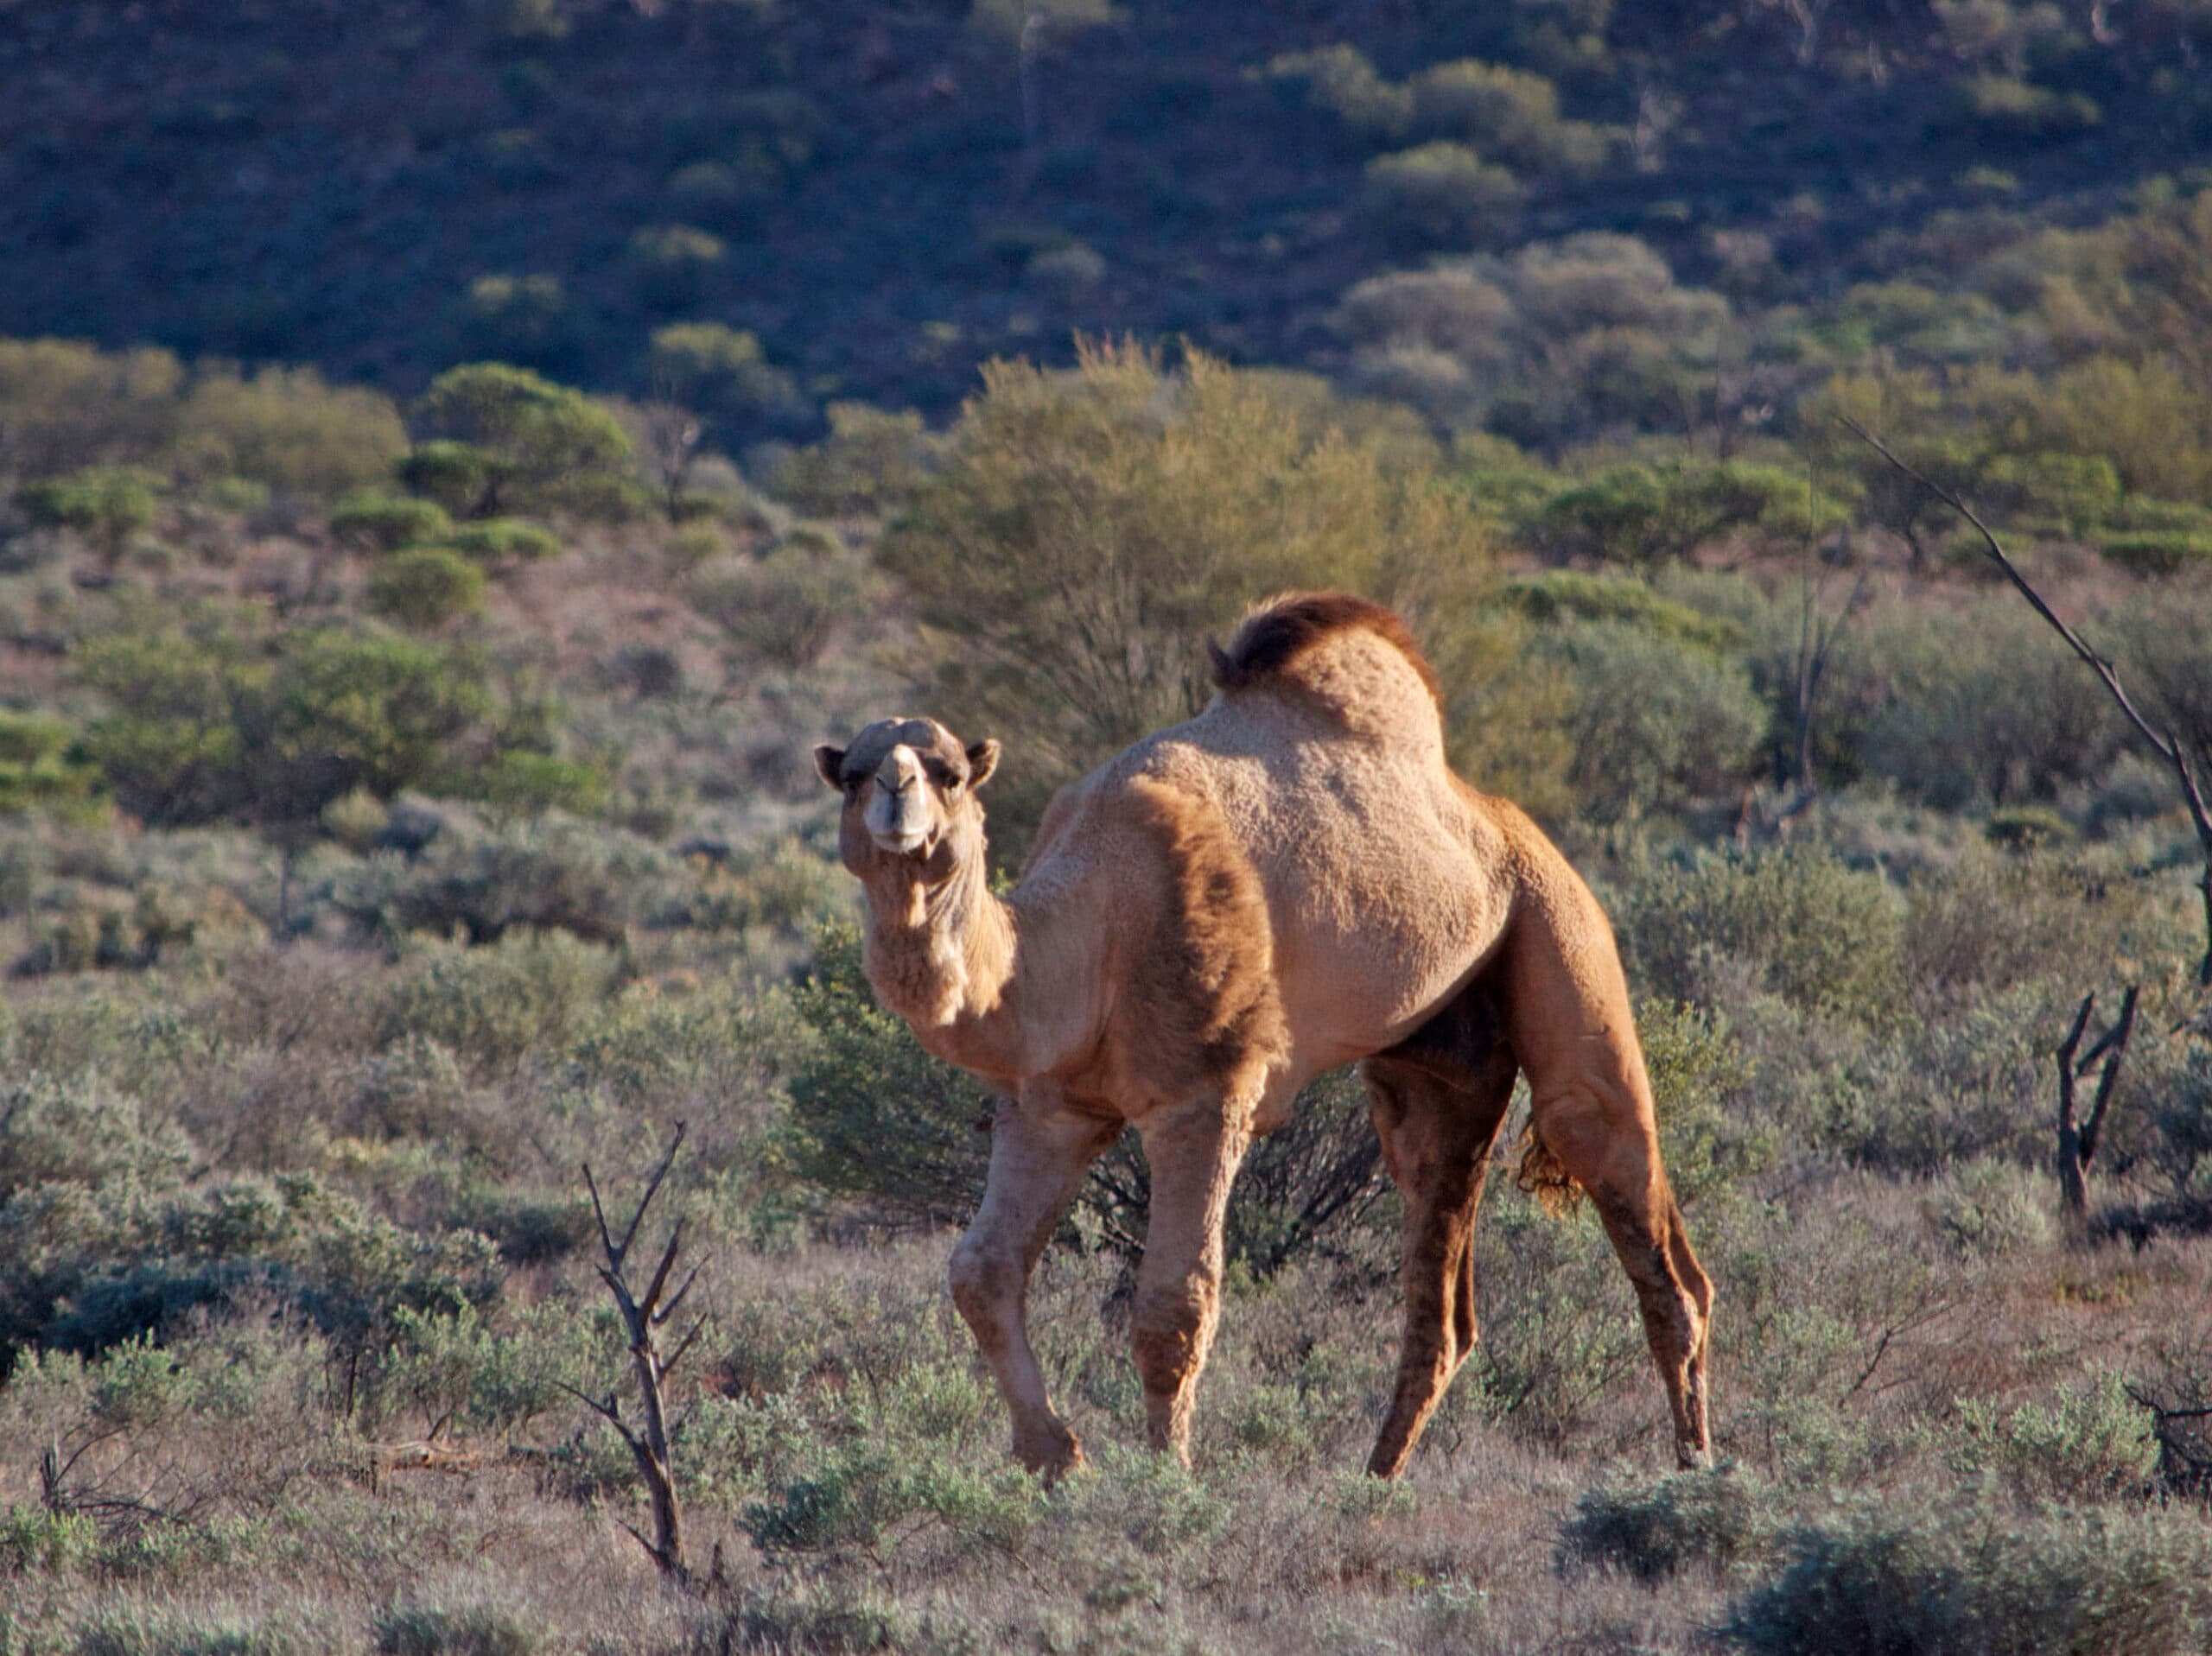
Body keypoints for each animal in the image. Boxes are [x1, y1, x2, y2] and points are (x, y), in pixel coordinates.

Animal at [811, 592, 1713, 1479]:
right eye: (850, 775)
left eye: (950, 774)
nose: (895, 790)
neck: (1085, 938)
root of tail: (1501, 819)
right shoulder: (1050, 1105)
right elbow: (982, 1271)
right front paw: (1055, 1457)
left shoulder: (1205, 1100)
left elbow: (1174, 1303)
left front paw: (1166, 1481)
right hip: (1438, 1061)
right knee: (1441, 1269)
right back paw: (1373, 1483)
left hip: (1559, 925)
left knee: (1627, 1187)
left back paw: (1695, 1468)